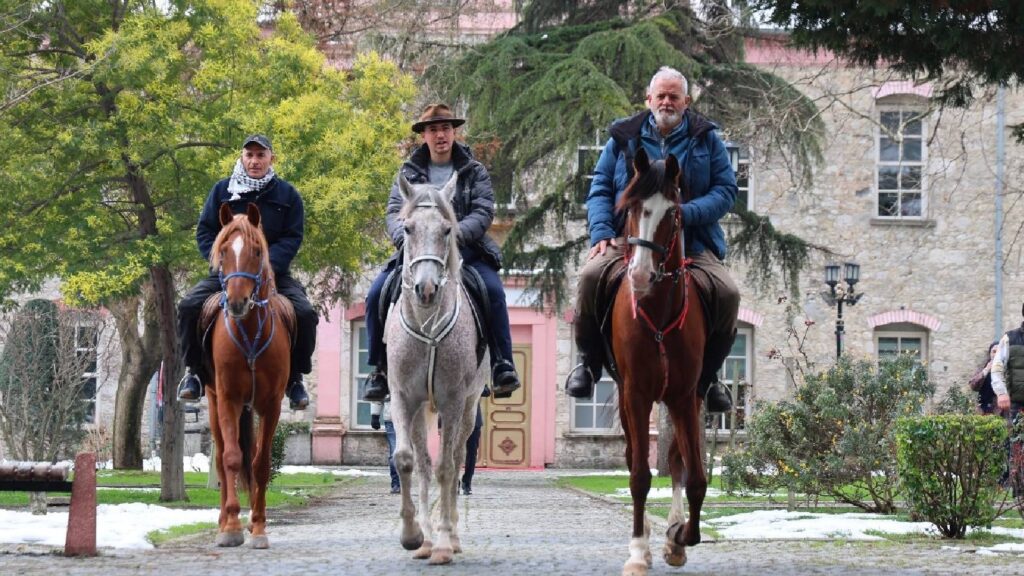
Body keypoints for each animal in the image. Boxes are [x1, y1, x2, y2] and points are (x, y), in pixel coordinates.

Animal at [203, 201, 292, 545]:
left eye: (256, 250)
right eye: (224, 250)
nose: (238, 302)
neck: (250, 330)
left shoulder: (272, 404)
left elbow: (261, 463)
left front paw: (258, 526)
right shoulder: (228, 398)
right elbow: (231, 458)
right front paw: (231, 527)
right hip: (213, 400)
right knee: (220, 457)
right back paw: (221, 521)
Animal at [385, 170, 487, 561]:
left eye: (447, 230)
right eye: (408, 228)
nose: (426, 290)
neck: (427, 326)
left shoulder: (453, 401)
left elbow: (447, 468)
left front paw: (444, 543)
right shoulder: (402, 397)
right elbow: (406, 460)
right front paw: (414, 536)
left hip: (468, 408)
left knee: (455, 460)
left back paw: (451, 537)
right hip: (420, 412)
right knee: (424, 465)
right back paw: (426, 540)